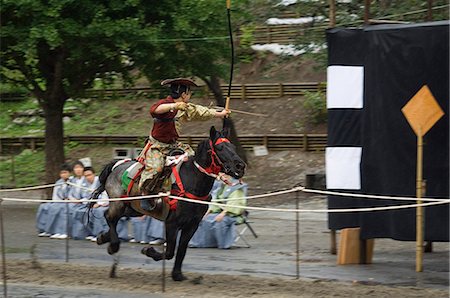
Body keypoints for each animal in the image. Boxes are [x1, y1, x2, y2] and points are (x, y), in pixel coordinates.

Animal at [90, 127, 246, 280]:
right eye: (220, 148)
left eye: (232, 146)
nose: (240, 166)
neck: (191, 183)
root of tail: (117, 165)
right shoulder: (172, 223)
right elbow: (170, 251)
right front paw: (148, 250)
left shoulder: (192, 225)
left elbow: (182, 250)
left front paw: (177, 274)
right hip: (119, 203)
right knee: (110, 217)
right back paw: (112, 246)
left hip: (133, 208)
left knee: (111, 217)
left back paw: (103, 237)